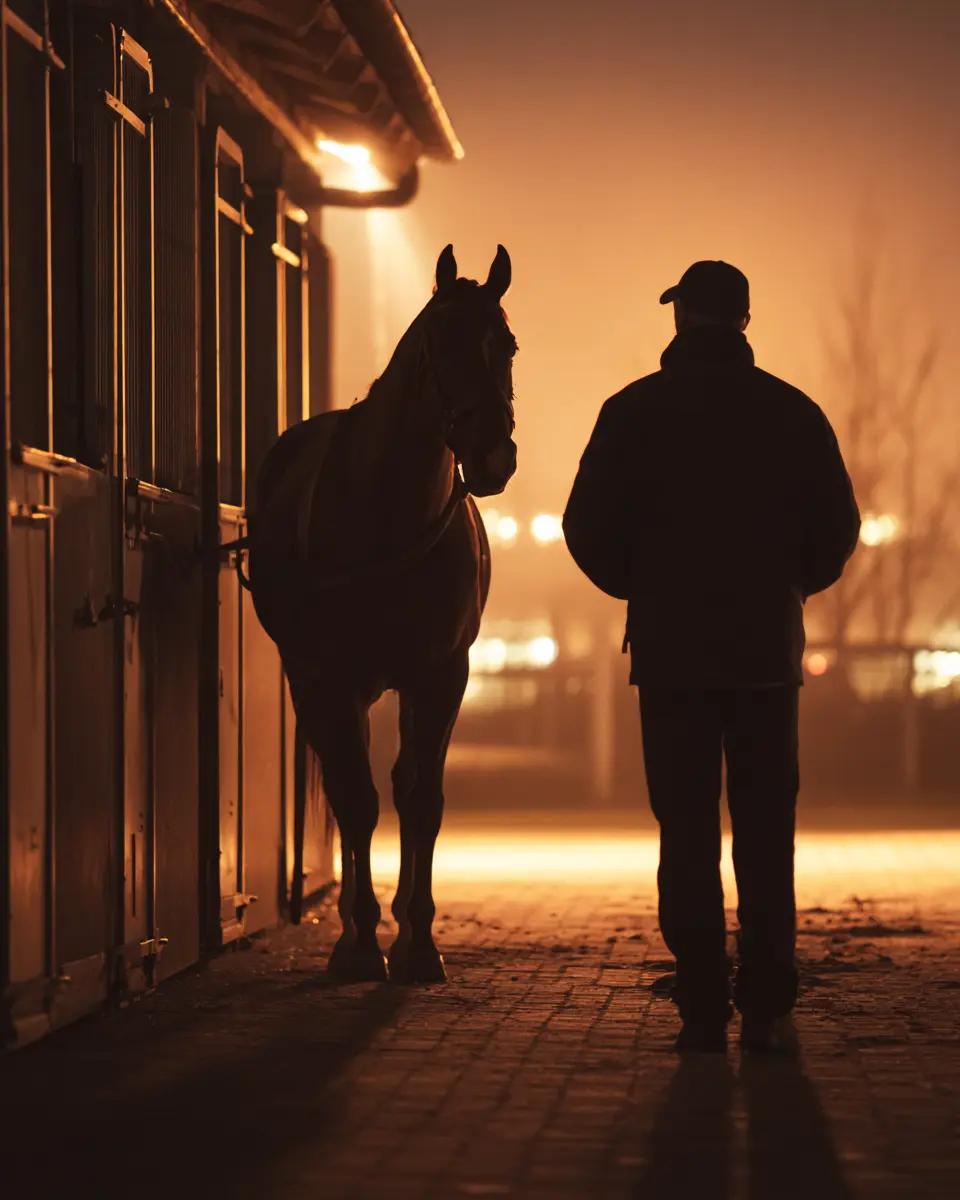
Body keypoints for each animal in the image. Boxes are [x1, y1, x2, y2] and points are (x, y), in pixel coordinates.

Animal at [247, 244, 518, 983]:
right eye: (441, 342)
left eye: (507, 345)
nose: (494, 456)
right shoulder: (330, 679)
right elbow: (357, 801)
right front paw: (362, 944)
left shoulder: (441, 675)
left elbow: (420, 800)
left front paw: (418, 942)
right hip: (319, 684)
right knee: (351, 793)